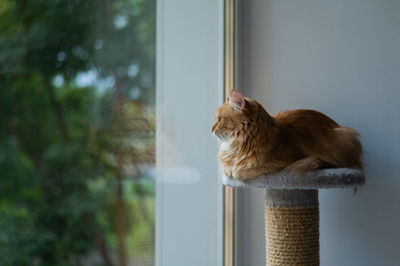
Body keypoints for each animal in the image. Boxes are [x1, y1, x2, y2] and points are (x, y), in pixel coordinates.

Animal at [212, 90, 362, 180]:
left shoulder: (283, 163)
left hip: (345, 136)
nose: (211, 129)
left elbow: (238, 172)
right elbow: (227, 169)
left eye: (219, 119)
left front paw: (234, 171)